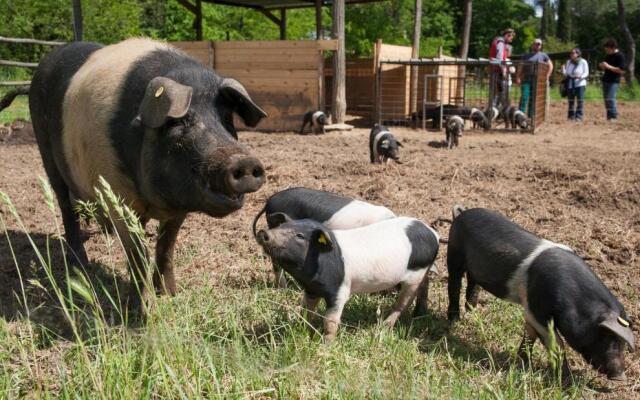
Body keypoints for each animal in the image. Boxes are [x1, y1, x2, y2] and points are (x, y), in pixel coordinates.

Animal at [29, 38, 268, 306]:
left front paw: (171, 294)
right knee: (65, 206)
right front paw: (142, 305)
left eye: (227, 119)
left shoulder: (179, 208)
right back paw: (80, 267)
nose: (243, 161)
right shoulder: (119, 198)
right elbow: (137, 254)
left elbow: (166, 246)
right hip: (46, 151)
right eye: (177, 122)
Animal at [256, 216, 440, 340]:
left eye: (300, 236)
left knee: (404, 301)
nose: (263, 232)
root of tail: (434, 234)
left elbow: (330, 322)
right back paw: (418, 314)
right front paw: (301, 329)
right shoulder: (311, 289)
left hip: (416, 273)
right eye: (282, 225)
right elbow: (306, 311)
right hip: (423, 271)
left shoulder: (340, 290)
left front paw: (326, 344)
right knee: (424, 286)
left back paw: (385, 327)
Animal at [448, 206, 636, 382]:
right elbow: (557, 343)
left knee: (472, 281)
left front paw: (523, 363)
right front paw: (566, 380)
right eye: (607, 337)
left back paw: (472, 310)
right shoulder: (536, 308)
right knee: (454, 284)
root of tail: (461, 213)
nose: (620, 377)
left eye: (621, 343)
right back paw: (454, 320)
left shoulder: (532, 312)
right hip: (454, 251)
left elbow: (530, 335)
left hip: (473, 268)